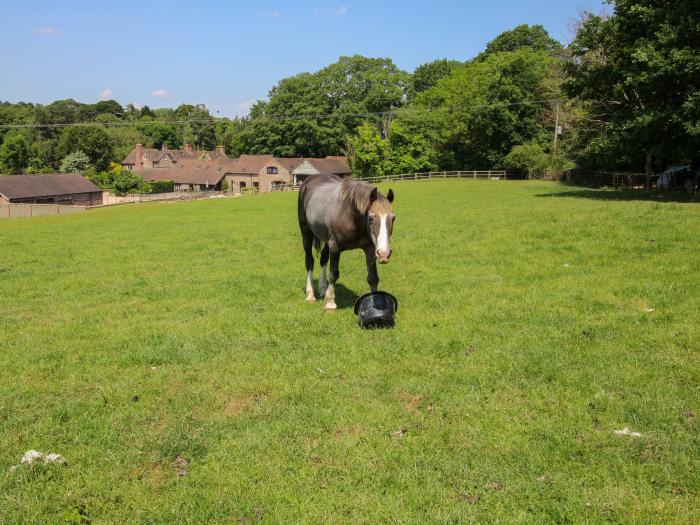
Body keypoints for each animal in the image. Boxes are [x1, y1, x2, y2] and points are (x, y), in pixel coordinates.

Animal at [296, 174, 394, 310]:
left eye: (393, 218)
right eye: (370, 218)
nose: (384, 254)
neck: (350, 216)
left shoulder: (369, 249)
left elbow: (373, 278)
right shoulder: (335, 247)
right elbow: (333, 274)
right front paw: (330, 302)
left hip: (326, 240)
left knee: (323, 260)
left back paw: (322, 289)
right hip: (306, 234)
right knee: (310, 261)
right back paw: (310, 294)